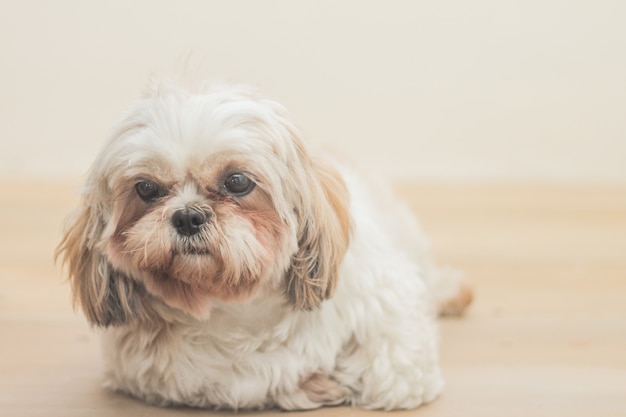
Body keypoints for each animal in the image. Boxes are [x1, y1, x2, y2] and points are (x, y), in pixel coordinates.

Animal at [57, 80, 468, 410]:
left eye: (237, 181)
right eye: (146, 189)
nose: (188, 216)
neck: (240, 309)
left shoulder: (392, 322)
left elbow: (391, 378)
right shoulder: (156, 373)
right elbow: (250, 382)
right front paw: (311, 385)